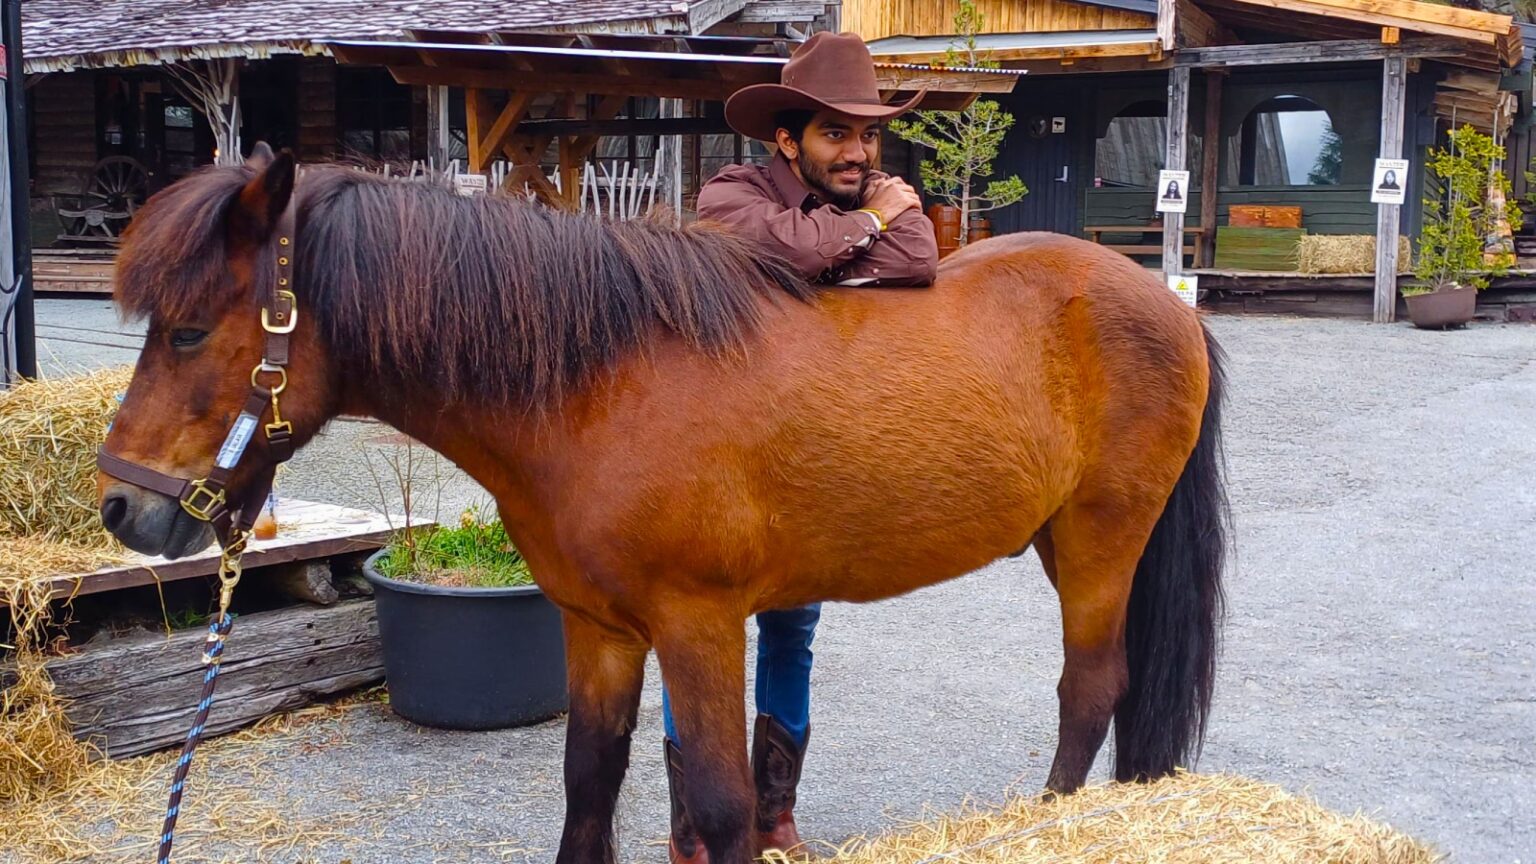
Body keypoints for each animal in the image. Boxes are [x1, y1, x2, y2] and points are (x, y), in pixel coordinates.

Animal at [98, 147, 1227, 864]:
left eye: (189, 330)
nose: (123, 511)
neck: (601, 384)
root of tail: (1161, 300)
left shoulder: (698, 625)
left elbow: (722, 806)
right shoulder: (598, 630)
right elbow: (591, 785)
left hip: (1102, 540)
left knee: (1090, 687)